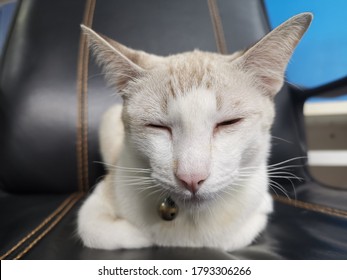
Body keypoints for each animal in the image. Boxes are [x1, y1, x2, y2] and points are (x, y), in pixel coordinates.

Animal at [77, 12, 314, 250]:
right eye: (158, 126)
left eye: (229, 122)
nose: (191, 178)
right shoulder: (99, 202)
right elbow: (98, 230)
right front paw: (148, 237)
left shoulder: (257, 205)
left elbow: (233, 236)